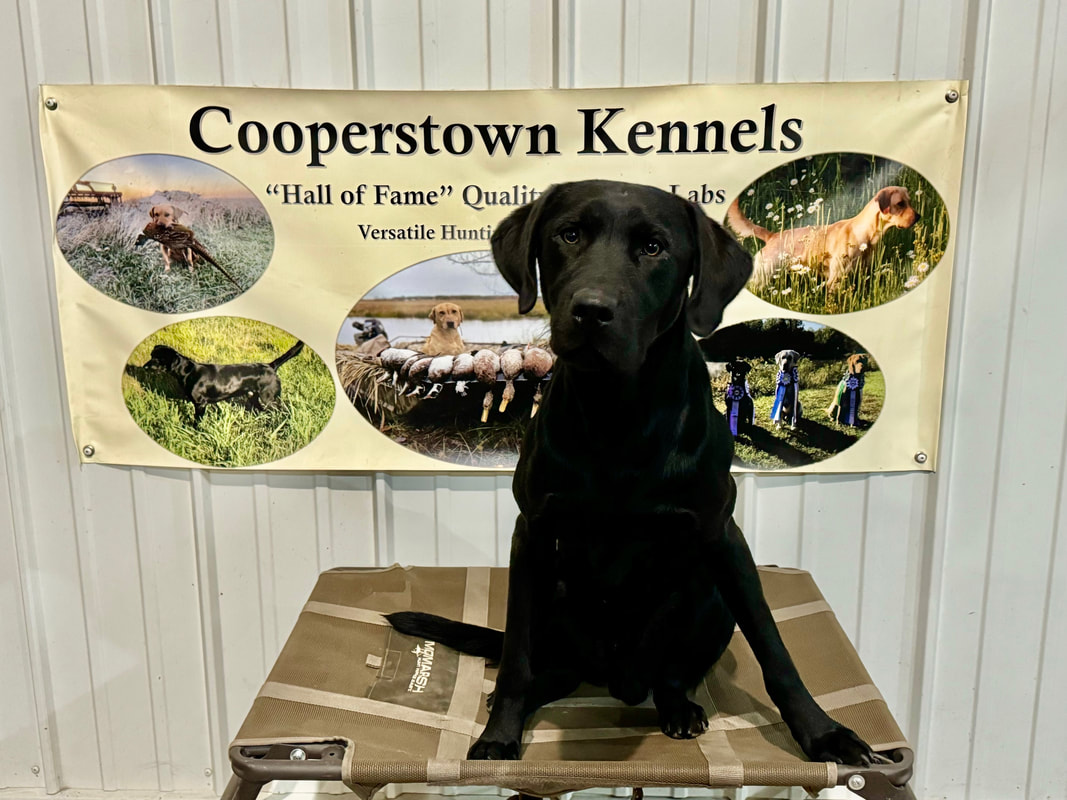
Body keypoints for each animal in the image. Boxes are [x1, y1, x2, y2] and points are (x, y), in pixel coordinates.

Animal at [139, 339, 303, 422]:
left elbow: (197, 421)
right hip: (254, 397)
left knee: (284, 411)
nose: (144, 367)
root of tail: (270, 366)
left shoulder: (200, 404)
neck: (188, 371)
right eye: (151, 355)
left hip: (269, 398)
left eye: (157, 359)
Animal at [390, 178, 874, 768]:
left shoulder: (722, 535)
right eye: (569, 235)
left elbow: (774, 650)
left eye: (653, 247)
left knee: (671, 675)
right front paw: (499, 735)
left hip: (709, 598)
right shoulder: (533, 533)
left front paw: (822, 733)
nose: (591, 312)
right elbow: (516, 659)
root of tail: (615, 678)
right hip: (552, 593)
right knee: (545, 667)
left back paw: (678, 707)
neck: (617, 412)